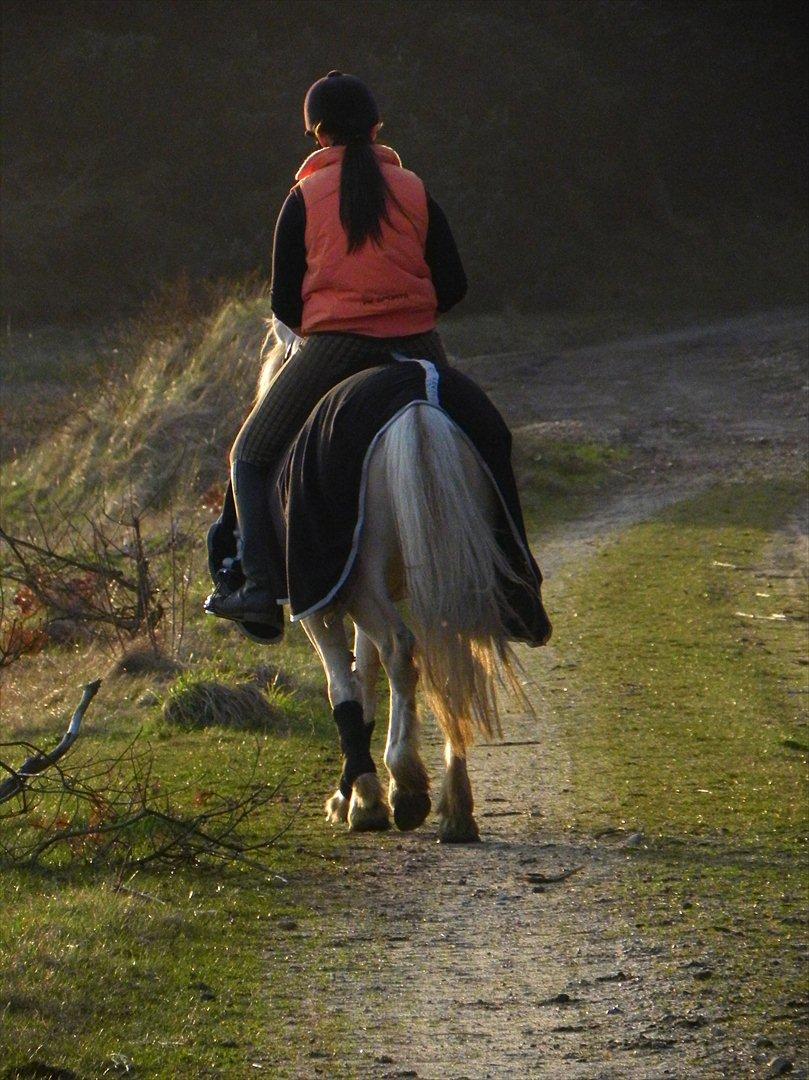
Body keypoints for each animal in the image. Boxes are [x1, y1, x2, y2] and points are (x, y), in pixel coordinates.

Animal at [259, 319, 548, 842]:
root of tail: (419, 408)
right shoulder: (369, 594)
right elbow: (366, 679)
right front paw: (357, 793)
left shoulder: (323, 601)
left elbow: (345, 685)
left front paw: (361, 799)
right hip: (448, 574)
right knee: (450, 655)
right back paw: (456, 808)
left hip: (361, 582)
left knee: (402, 649)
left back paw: (408, 785)